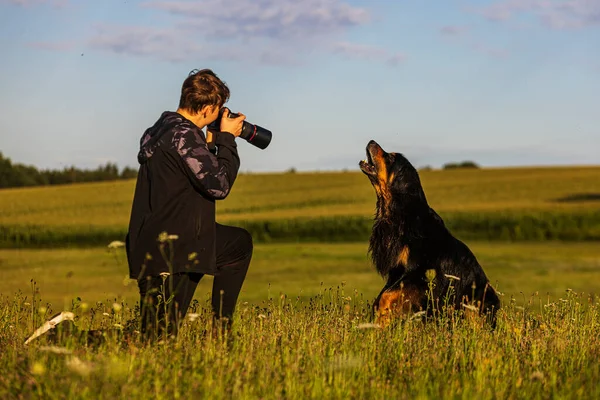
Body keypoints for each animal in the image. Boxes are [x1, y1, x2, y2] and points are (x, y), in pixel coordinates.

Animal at [358, 139, 500, 326]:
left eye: (390, 157)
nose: (371, 141)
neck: (400, 211)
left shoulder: (416, 270)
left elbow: (386, 296)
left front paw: (383, 318)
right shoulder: (397, 271)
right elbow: (383, 294)